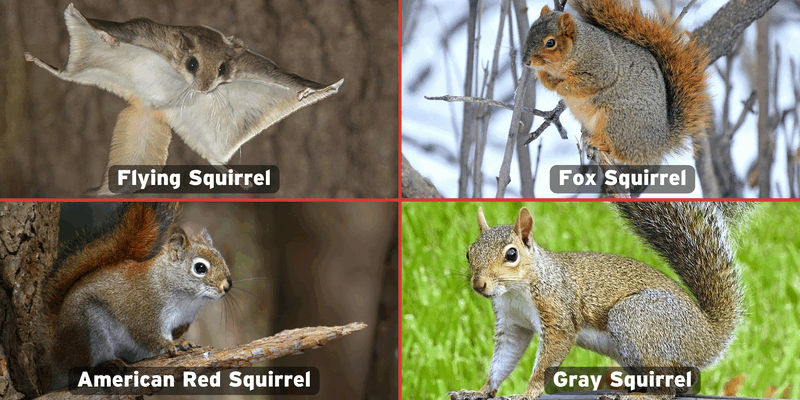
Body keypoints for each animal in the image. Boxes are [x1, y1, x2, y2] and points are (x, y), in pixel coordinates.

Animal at [24, 4, 344, 195]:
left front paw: (304, 91)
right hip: (84, 71)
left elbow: (283, 79)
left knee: (213, 158)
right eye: (192, 64)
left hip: (201, 135)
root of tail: (150, 108)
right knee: (65, 75)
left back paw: (238, 178)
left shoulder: (253, 68)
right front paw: (108, 38)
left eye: (222, 70)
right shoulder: (145, 33)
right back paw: (39, 61)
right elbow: (118, 31)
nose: (204, 89)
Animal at [40, 203, 231, 388]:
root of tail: (56, 350)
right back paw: (106, 365)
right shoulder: (144, 310)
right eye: (200, 268)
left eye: (222, 258)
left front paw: (181, 337)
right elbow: (148, 334)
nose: (227, 286)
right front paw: (175, 344)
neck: (187, 300)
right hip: (88, 330)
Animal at [446, 203, 748, 400]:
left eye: (511, 254)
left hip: (637, 318)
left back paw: (639, 395)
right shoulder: (513, 325)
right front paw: (480, 391)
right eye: (469, 253)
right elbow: (504, 359)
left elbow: (548, 358)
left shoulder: (557, 312)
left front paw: (527, 394)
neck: (515, 292)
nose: (478, 284)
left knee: (668, 391)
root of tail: (707, 336)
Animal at [520, 0, 708, 166]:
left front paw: (560, 87)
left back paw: (601, 143)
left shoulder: (601, 67)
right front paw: (548, 81)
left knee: (622, 153)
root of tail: (658, 145)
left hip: (617, 121)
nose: (526, 62)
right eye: (528, 32)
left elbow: (586, 83)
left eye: (550, 42)